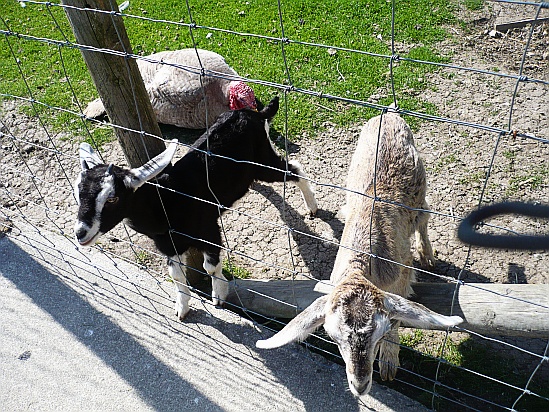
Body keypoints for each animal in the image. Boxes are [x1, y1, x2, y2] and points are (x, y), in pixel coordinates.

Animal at [75, 96, 318, 318]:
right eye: (77, 193)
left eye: (112, 199)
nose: (80, 233)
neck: (167, 201)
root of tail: (254, 114)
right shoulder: (168, 244)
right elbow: (176, 275)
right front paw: (181, 309)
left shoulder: (209, 229)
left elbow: (210, 266)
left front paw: (219, 295)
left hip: (263, 161)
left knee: (293, 169)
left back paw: (313, 207)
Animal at [256, 112, 462, 396]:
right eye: (332, 337)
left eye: (380, 333)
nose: (360, 385)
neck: (361, 263)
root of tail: (389, 113)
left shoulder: (402, 273)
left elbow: (400, 317)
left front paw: (388, 362)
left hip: (420, 186)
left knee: (424, 215)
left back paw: (428, 255)